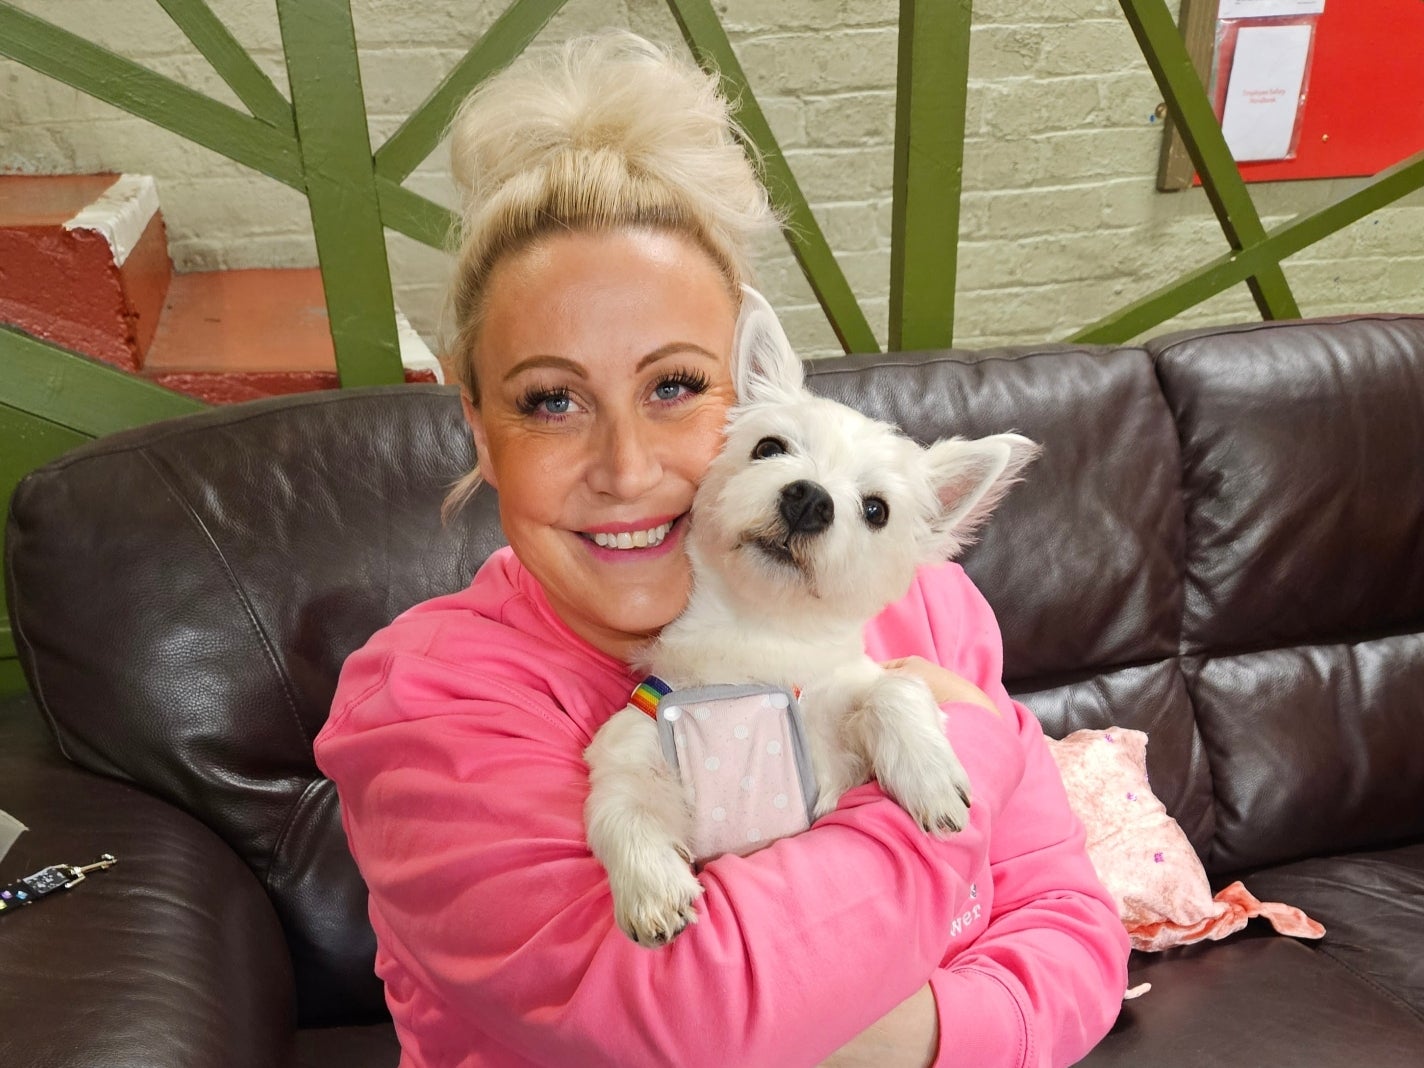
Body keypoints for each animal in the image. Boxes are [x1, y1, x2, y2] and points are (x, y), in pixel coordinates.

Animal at [583, 289, 1042, 951]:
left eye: (875, 510)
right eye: (769, 448)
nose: (810, 498)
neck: (756, 634)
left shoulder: (837, 730)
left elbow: (894, 690)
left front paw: (929, 773)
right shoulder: (635, 742)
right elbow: (622, 805)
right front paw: (651, 886)